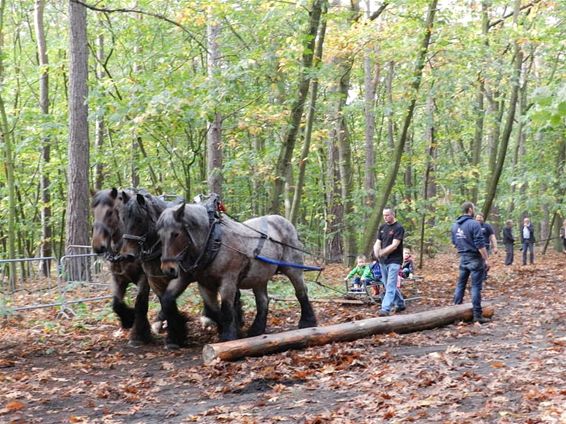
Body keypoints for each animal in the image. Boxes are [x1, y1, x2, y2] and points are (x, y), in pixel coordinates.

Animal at [92, 188, 156, 344]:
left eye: (110, 212)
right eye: (93, 211)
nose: (98, 246)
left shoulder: (144, 278)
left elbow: (140, 303)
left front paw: (139, 334)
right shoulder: (118, 278)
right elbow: (116, 304)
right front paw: (128, 319)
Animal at [158, 200, 320, 342]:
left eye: (176, 234)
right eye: (159, 236)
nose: (168, 269)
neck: (213, 241)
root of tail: (286, 222)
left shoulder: (228, 280)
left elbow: (226, 308)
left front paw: (228, 335)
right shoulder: (201, 283)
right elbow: (209, 309)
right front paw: (176, 336)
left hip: (292, 268)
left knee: (301, 291)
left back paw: (308, 321)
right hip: (259, 277)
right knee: (263, 301)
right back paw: (256, 330)